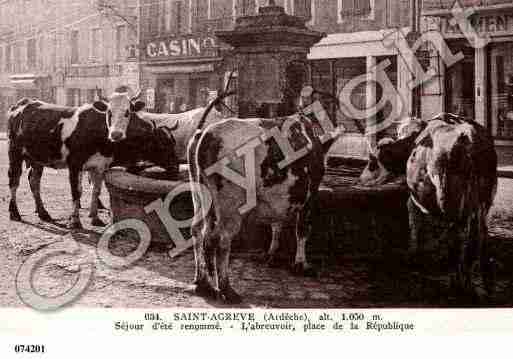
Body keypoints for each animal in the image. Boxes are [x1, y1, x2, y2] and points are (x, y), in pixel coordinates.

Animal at [7, 86, 144, 228]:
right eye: (109, 112)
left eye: (127, 112)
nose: (116, 134)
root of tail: (24, 102)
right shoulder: (74, 165)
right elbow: (76, 191)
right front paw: (75, 221)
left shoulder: (100, 166)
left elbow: (96, 190)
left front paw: (95, 218)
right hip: (14, 151)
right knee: (14, 180)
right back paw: (15, 213)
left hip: (37, 158)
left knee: (34, 182)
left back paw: (43, 213)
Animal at [186, 88, 342, 304]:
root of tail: (207, 134)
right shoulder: (310, 194)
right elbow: (302, 229)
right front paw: (301, 264)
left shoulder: (281, 197)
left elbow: (276, 224)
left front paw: (272, 254)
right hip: (231, 204)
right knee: (220, 239)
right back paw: (226, 290)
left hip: (200, 195)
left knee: (198, 231)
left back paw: (203, 284)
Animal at [360, 114, 496, 298]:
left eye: (371, 163)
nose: (361, 179)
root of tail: (469, 135)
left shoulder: (414, 198)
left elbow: (414, 220)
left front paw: (414, 254)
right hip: (482, 200)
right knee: (480, 235)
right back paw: (483, 282)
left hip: (449, 198)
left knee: (458, 235)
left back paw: (457, 282)